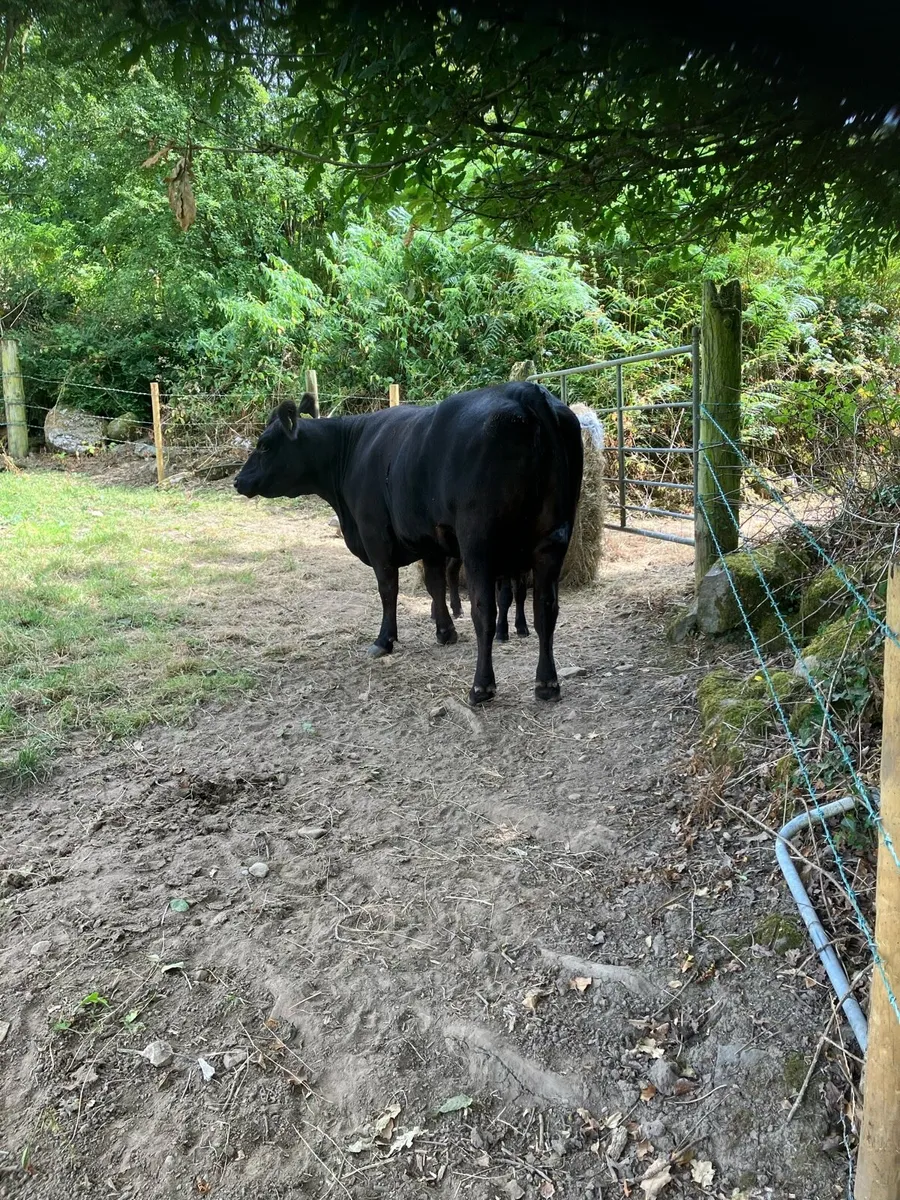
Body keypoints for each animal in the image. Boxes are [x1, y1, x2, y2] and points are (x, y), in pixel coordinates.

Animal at [234, 382, 583, 706]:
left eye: (264, 445)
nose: (238, 480)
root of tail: (524, 390)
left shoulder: (375, 536)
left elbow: (388, 590)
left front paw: (384, 640)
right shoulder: (429, 541)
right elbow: (434, 585)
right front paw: (445, 632)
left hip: (479, 543)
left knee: (484, 611)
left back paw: (481, 687)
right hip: (552, 539)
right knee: (545, 609)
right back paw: (547, 684)